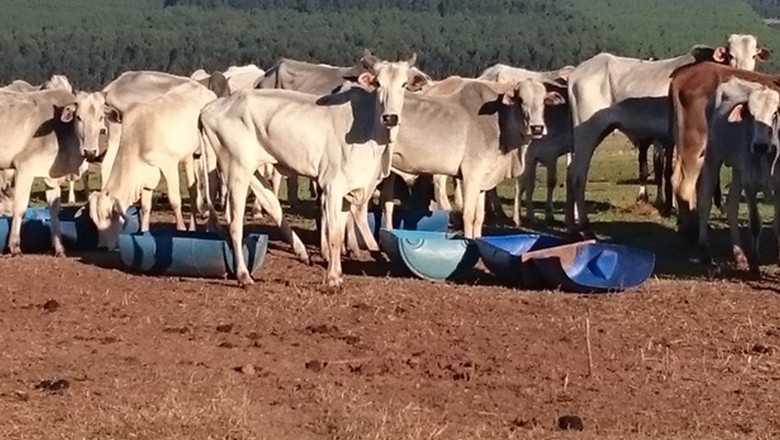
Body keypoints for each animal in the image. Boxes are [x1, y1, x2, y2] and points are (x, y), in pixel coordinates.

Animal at [201, 54, 420, 286]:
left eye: (403, 84)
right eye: (378, 83)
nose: (390, 117)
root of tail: (210, 108)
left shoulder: (348, 192)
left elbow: (340, 230)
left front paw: (338, 274)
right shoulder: (332, 187)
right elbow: (334, 235)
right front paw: (332, 279)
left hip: (249, 168)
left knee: (271, 203)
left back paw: (300, 251)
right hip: (236, 170)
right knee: (235, 223)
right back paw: (243, 275)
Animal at [696, 79, 780, 272]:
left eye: (775, 113)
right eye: (750, 114)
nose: (759, 146)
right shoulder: (749, 185)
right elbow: (755, 223)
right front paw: (755, 262)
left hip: (737, 170)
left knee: (732, 205)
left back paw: (739, 255)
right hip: (713, 156)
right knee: (704, 202)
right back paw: (704, 250)